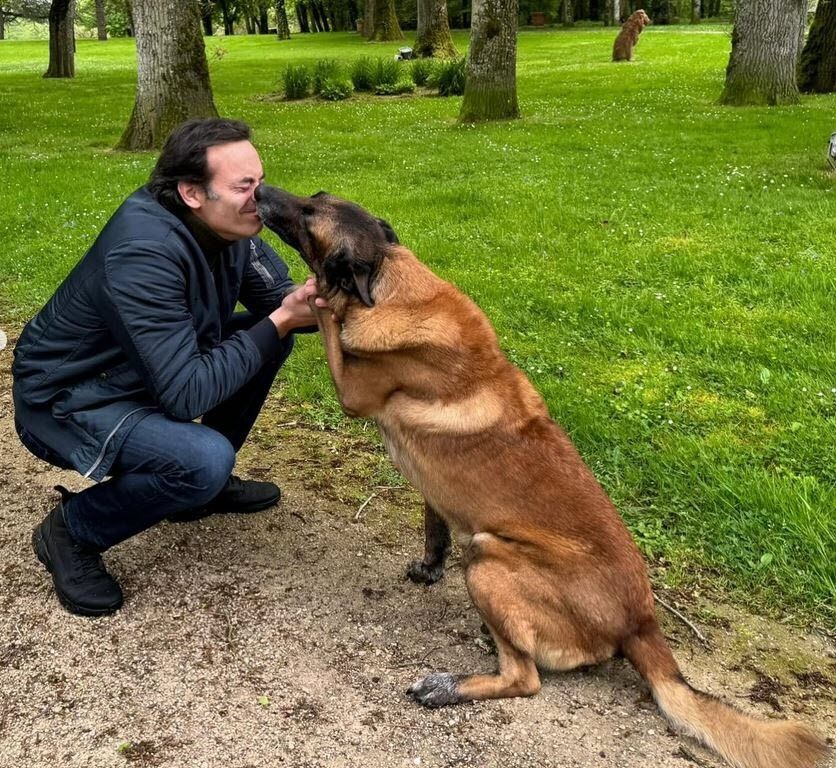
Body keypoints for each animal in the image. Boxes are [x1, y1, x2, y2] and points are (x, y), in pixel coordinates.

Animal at [255, 183, 828, 768]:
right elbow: (434, 528)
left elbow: (327, 313)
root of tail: (641, 623)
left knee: (525, 679)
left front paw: (316, 296)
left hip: (487, 555)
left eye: (308, 214)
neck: (393, 283)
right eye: (315, 196)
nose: (259, 189)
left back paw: (449, 686)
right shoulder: (432, 493)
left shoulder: (352, 390)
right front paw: (429, 567)